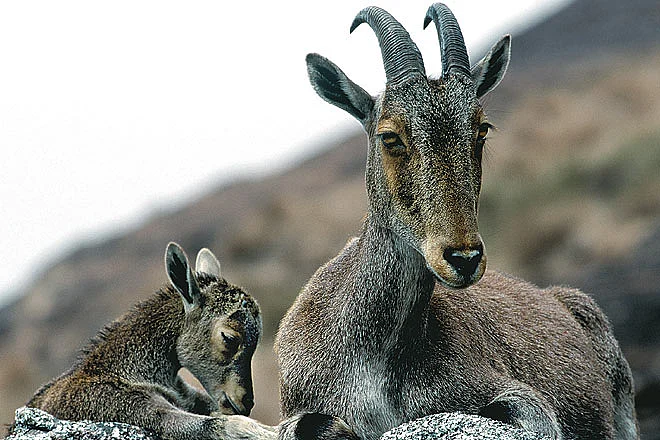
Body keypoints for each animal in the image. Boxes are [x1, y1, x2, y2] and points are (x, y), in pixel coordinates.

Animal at [275, 4, 638, 440]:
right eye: (389, 136)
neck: (374, 357)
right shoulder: (297, 408)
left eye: (481, 128)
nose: (463, 258)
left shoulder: (518, 397)